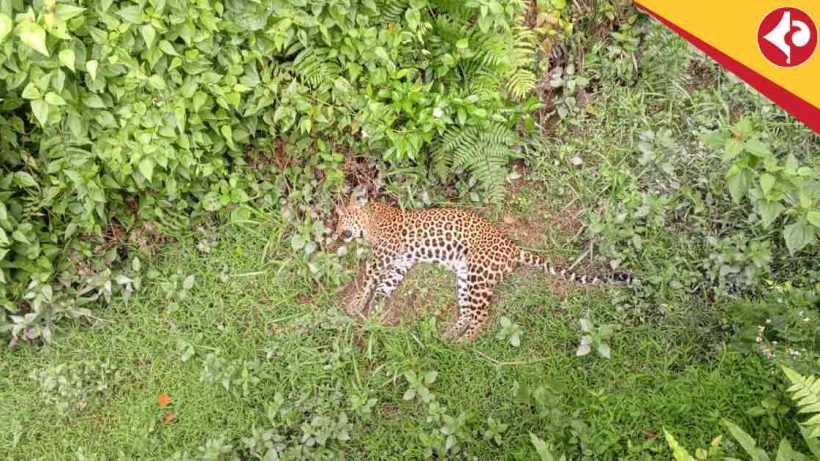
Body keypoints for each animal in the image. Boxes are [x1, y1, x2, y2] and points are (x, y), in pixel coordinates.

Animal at [334, 193, 633, 342]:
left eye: (341, 219)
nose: (336, 233)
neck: (372, 219)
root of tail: (513, 247)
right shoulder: (399, 263)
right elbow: (384, 286)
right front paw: (372, 311)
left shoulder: (382, 257)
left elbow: (369, 279)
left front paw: (356, 305)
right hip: (465, 275)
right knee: (468, 312)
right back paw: (450, 335)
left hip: (479, 272)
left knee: (482, 315)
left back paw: (463, 343)